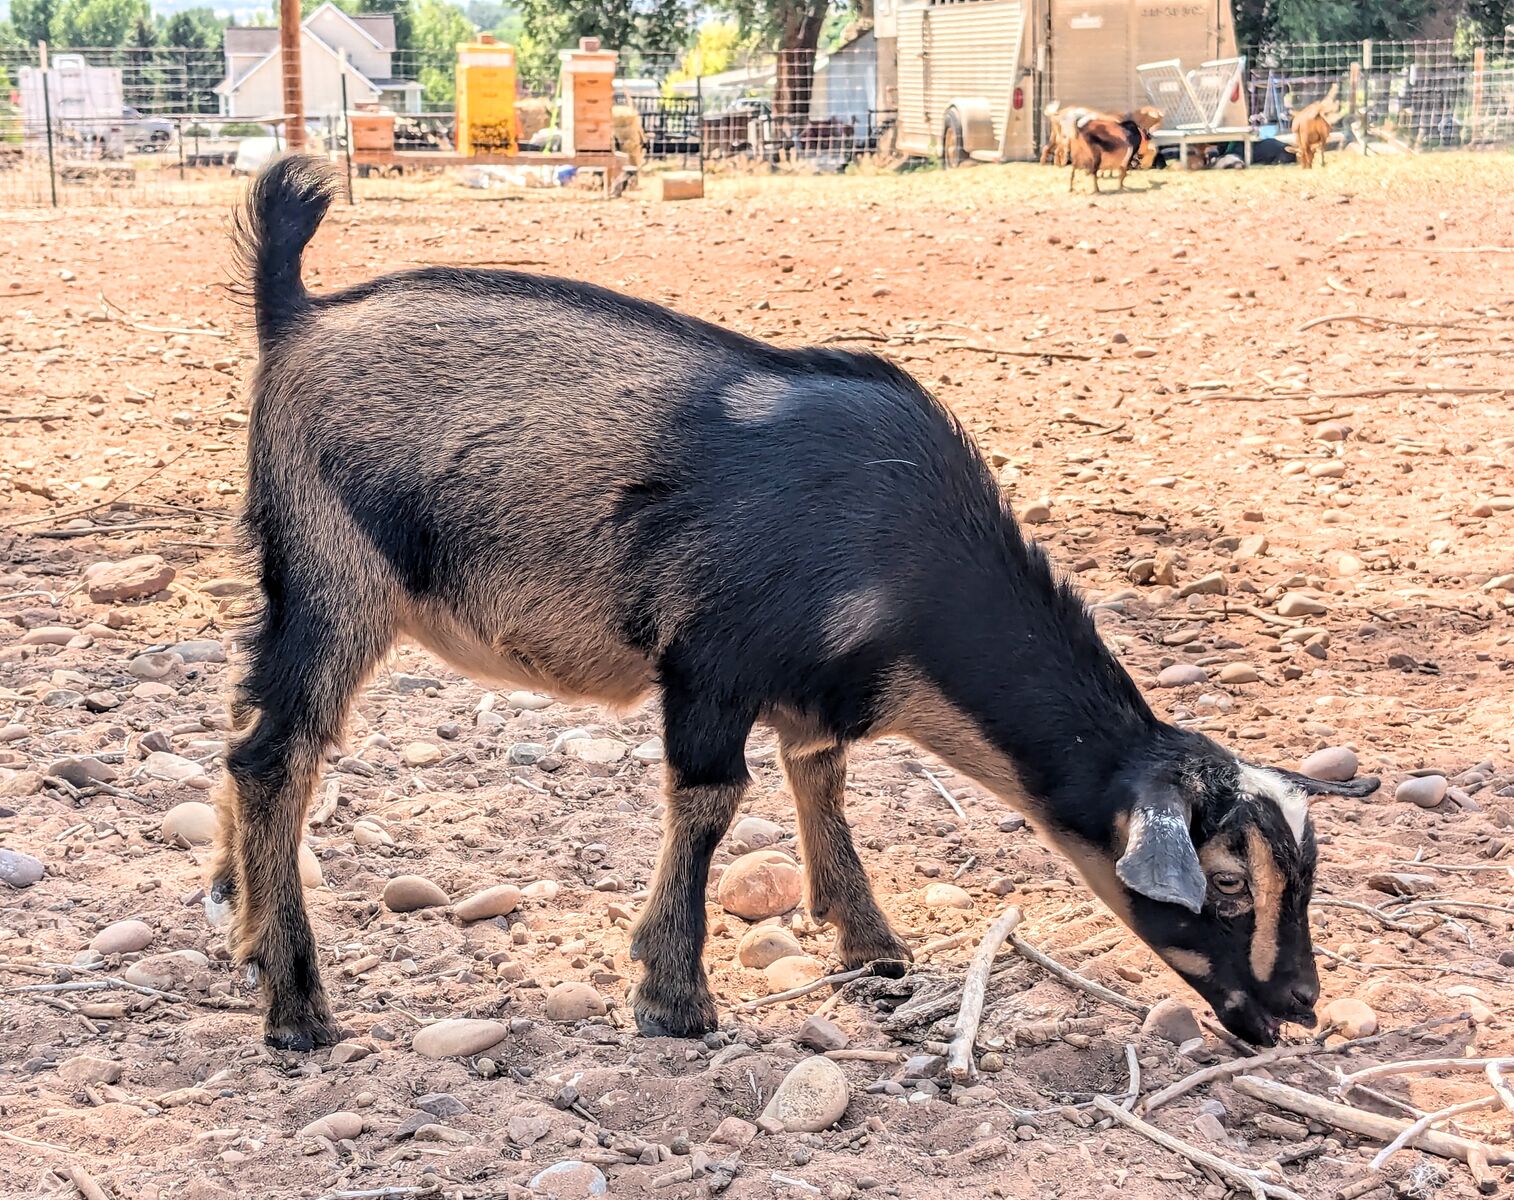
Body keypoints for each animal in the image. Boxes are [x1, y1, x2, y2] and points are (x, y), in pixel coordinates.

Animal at [218, 155, 1379, 1052]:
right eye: (1227, 885)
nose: (1297, 1006)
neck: (902, 552)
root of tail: (297, 315)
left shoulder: (816, 692)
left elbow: (820, 778)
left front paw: (871, 943)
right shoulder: (710, 659)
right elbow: (709, 801)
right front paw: (674, 996)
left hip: (287, 574)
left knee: (243, 724)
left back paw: (238, 918)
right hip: (336, 570)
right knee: (279, 754)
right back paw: (297, 1005)